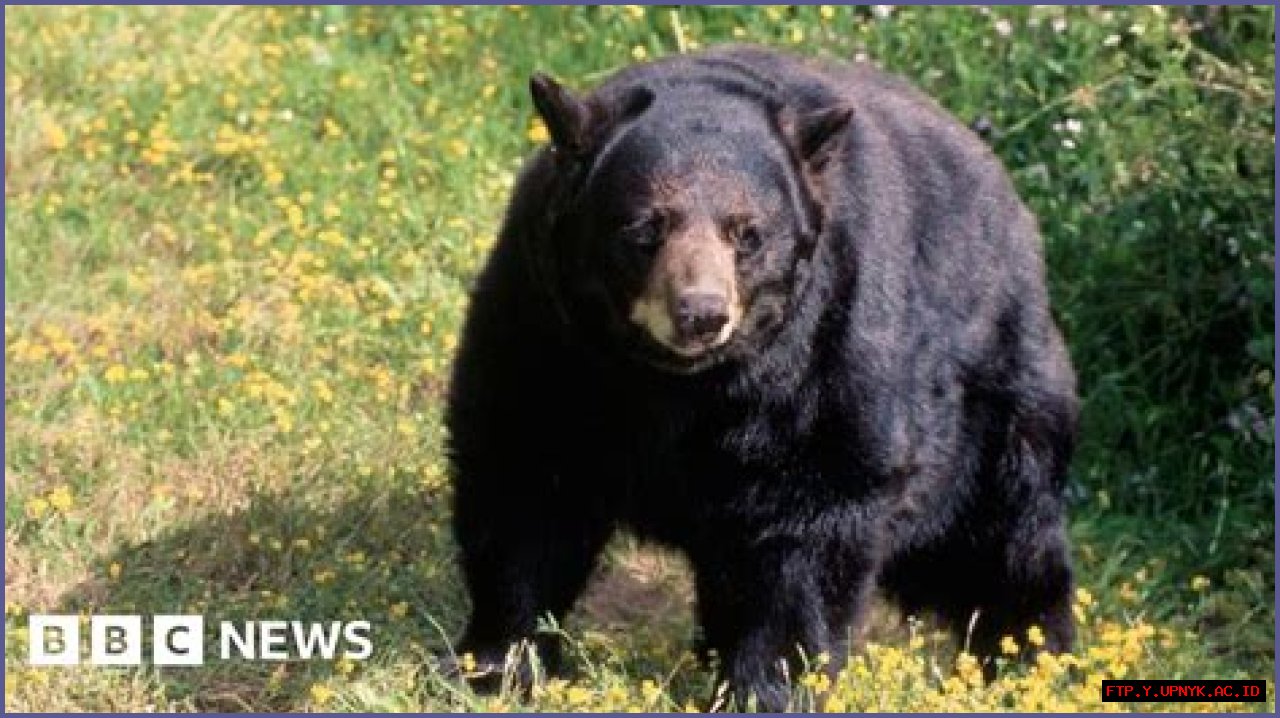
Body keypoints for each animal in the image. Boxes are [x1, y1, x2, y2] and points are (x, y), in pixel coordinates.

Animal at [444, 45, 1079, 711]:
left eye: (746, 232)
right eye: (645, 227)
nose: (701, 312)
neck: (673, 385)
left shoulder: (825, 354)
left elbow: (812, 520)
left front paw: (766, 688)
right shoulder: (545, 331)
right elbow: (528, 476)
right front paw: (498, 662)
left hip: (994, 394)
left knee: (1002, 531)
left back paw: (1029, 660)